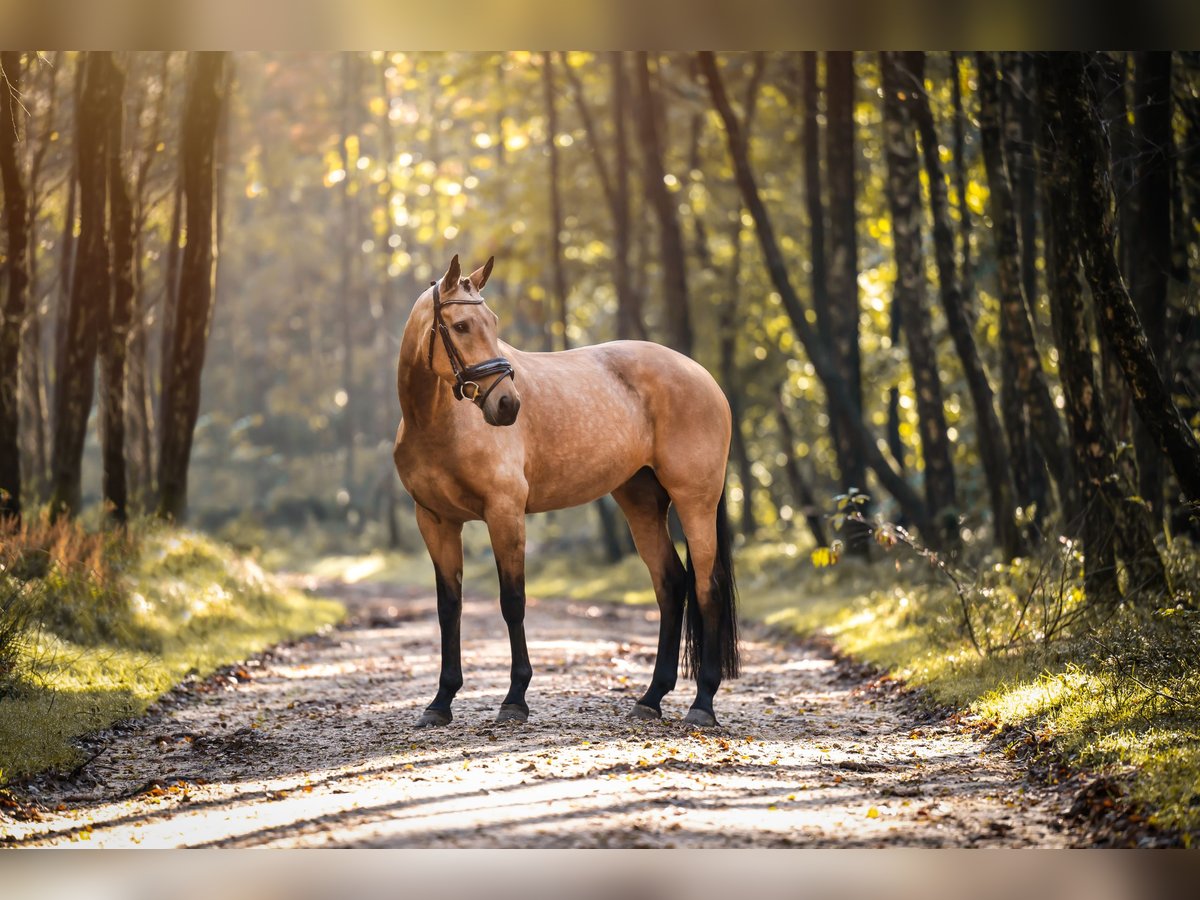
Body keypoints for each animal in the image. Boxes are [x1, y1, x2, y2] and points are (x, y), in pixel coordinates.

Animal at [393, 252, 734, 724]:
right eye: (460, 325)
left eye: (493, 323)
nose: (507, 405)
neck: (438, 424)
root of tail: (702, 376)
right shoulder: (435, 521)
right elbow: (449, 608)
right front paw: (440, 702)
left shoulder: (505, 514)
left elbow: (512, 601)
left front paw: (515, 698)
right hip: (642, 501)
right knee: (671, 583)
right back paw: (651, 698)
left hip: (695, 501)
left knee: (707, 587)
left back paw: (702, 704)